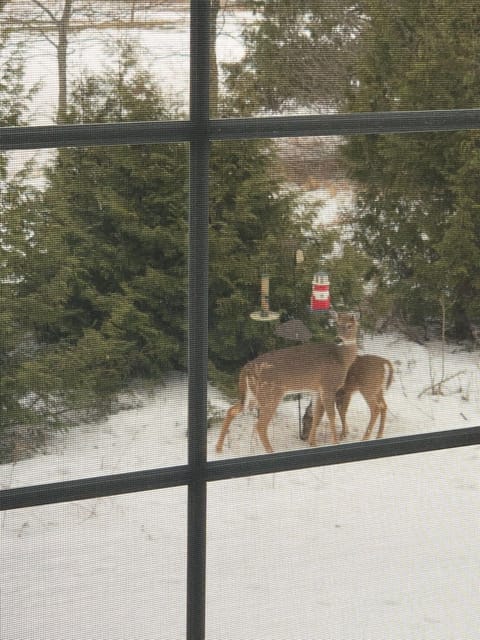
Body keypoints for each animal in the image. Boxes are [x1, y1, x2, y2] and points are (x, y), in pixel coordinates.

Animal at [216, 312, 358, 456]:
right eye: (337, 324)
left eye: (349, 325)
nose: (338, 339)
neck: (341, 359)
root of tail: (246, 369)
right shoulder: (328, 385)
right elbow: (331, 415)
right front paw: (335, 442)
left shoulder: (316, 390)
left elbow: (316, 415)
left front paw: (312, 443)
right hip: (270, 393)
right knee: (260, 425)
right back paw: (270, 450)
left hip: (253, 394)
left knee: (232, 410)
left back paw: (218, 448)